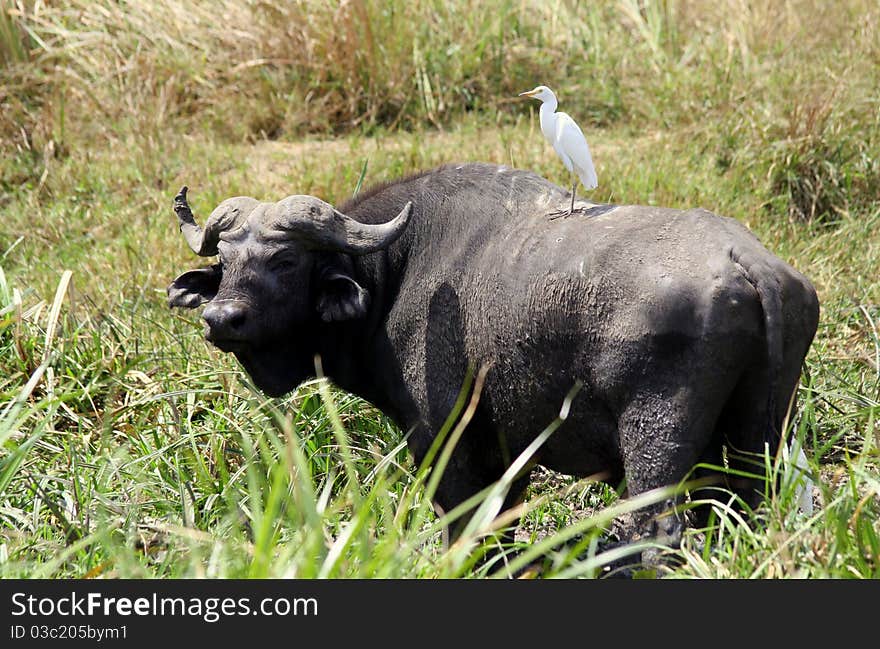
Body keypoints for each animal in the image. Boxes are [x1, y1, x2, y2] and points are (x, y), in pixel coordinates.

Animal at [168, 162, 820, 560]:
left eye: (283, 261)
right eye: (225, 260)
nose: (221, 318)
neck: (399, 274)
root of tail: (746, 262)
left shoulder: (444, 443)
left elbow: (465, 528)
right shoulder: (510, 451)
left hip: (657, 445)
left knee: (659, 529)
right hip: (756, 440)